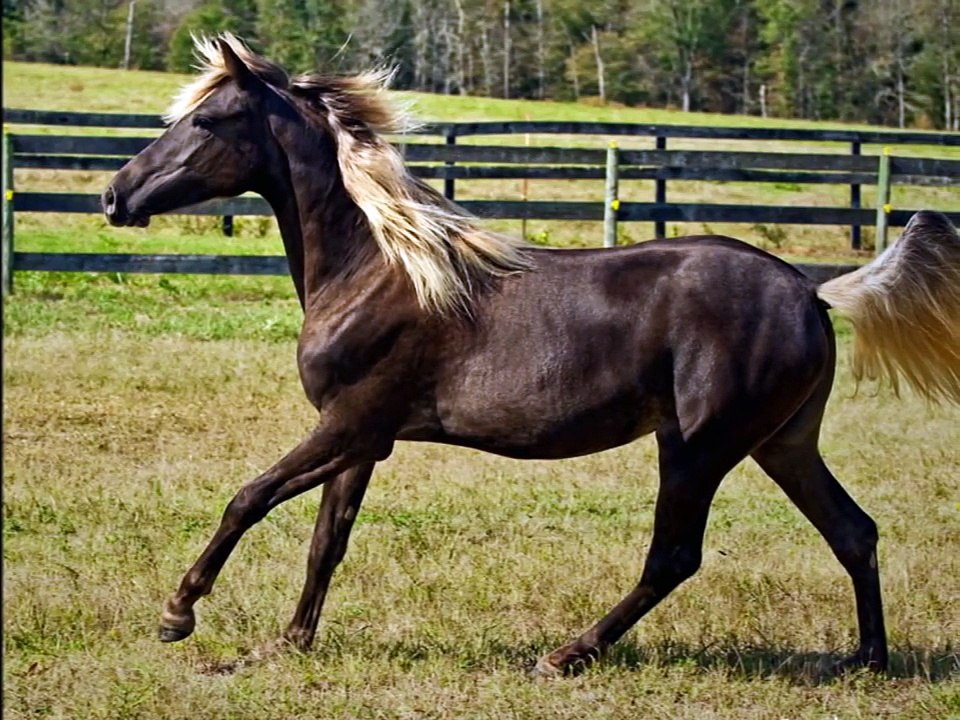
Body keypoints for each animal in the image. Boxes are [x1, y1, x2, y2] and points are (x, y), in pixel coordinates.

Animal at [102, 34, 960, 676]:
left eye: (210, 120)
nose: (115, 195)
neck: (379, 267)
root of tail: (813, 291)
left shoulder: (348, 425)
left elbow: (248, 497)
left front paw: (178, 614)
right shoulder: (363, 439)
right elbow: (326, 541)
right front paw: (284, 645)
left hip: (698, 446)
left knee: (674, 556)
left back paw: (566, 654)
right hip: (783, 443)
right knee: (853, 531)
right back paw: (866, 662)